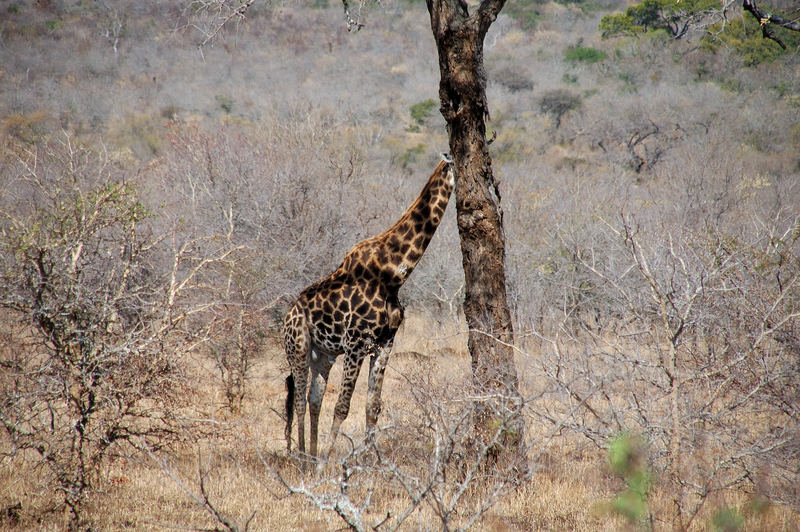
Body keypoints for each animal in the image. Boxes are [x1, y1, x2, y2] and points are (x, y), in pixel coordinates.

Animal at [284, 156, 454, 460]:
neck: (393, 275)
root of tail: (287, 316)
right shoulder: (356, 344)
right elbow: (342, 406)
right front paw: (329, 462)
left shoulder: (386, 342)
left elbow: (373, 406)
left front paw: (370, 460)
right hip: (298, 348)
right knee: (300, 399)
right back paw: (303, 458)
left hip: (323, 355)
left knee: (314, 398)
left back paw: (311, 454)